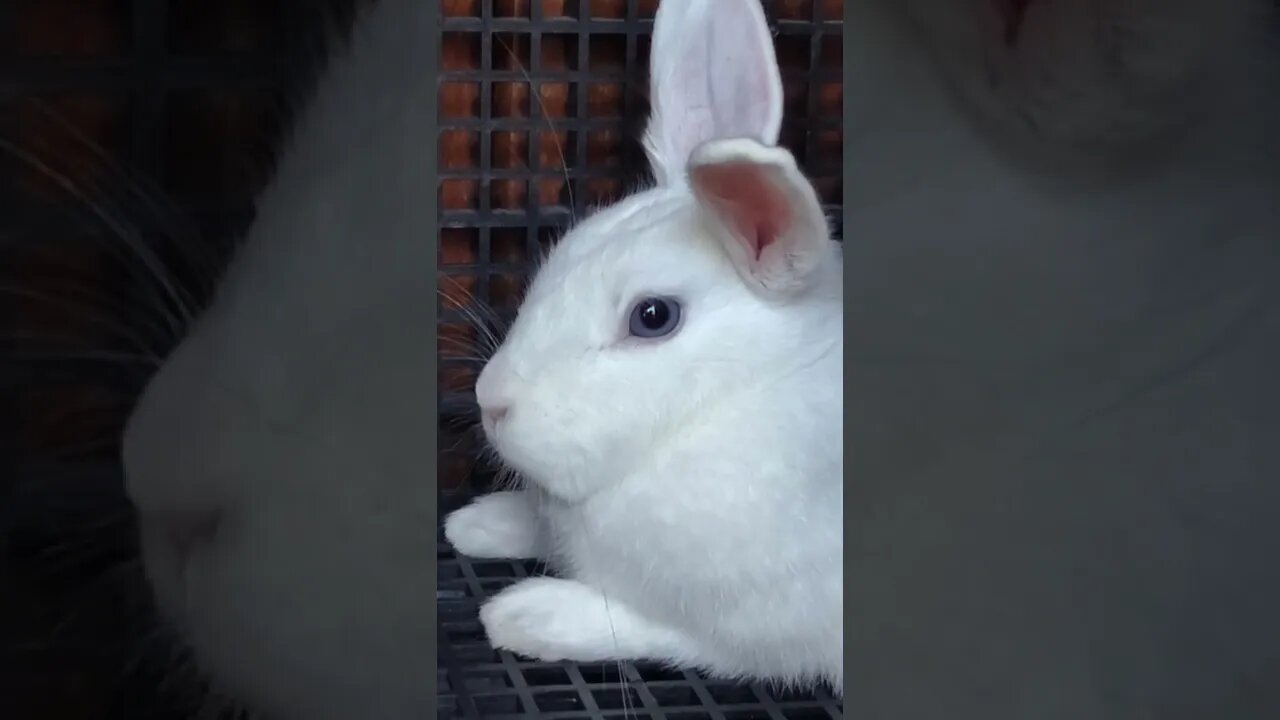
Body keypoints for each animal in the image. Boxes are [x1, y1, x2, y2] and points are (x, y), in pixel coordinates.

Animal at [445, 0, 844, 691]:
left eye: (652, 317)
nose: (490, 401)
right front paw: (479, 521)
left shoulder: (761, 632)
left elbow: (638, 624)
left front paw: (526, 616)